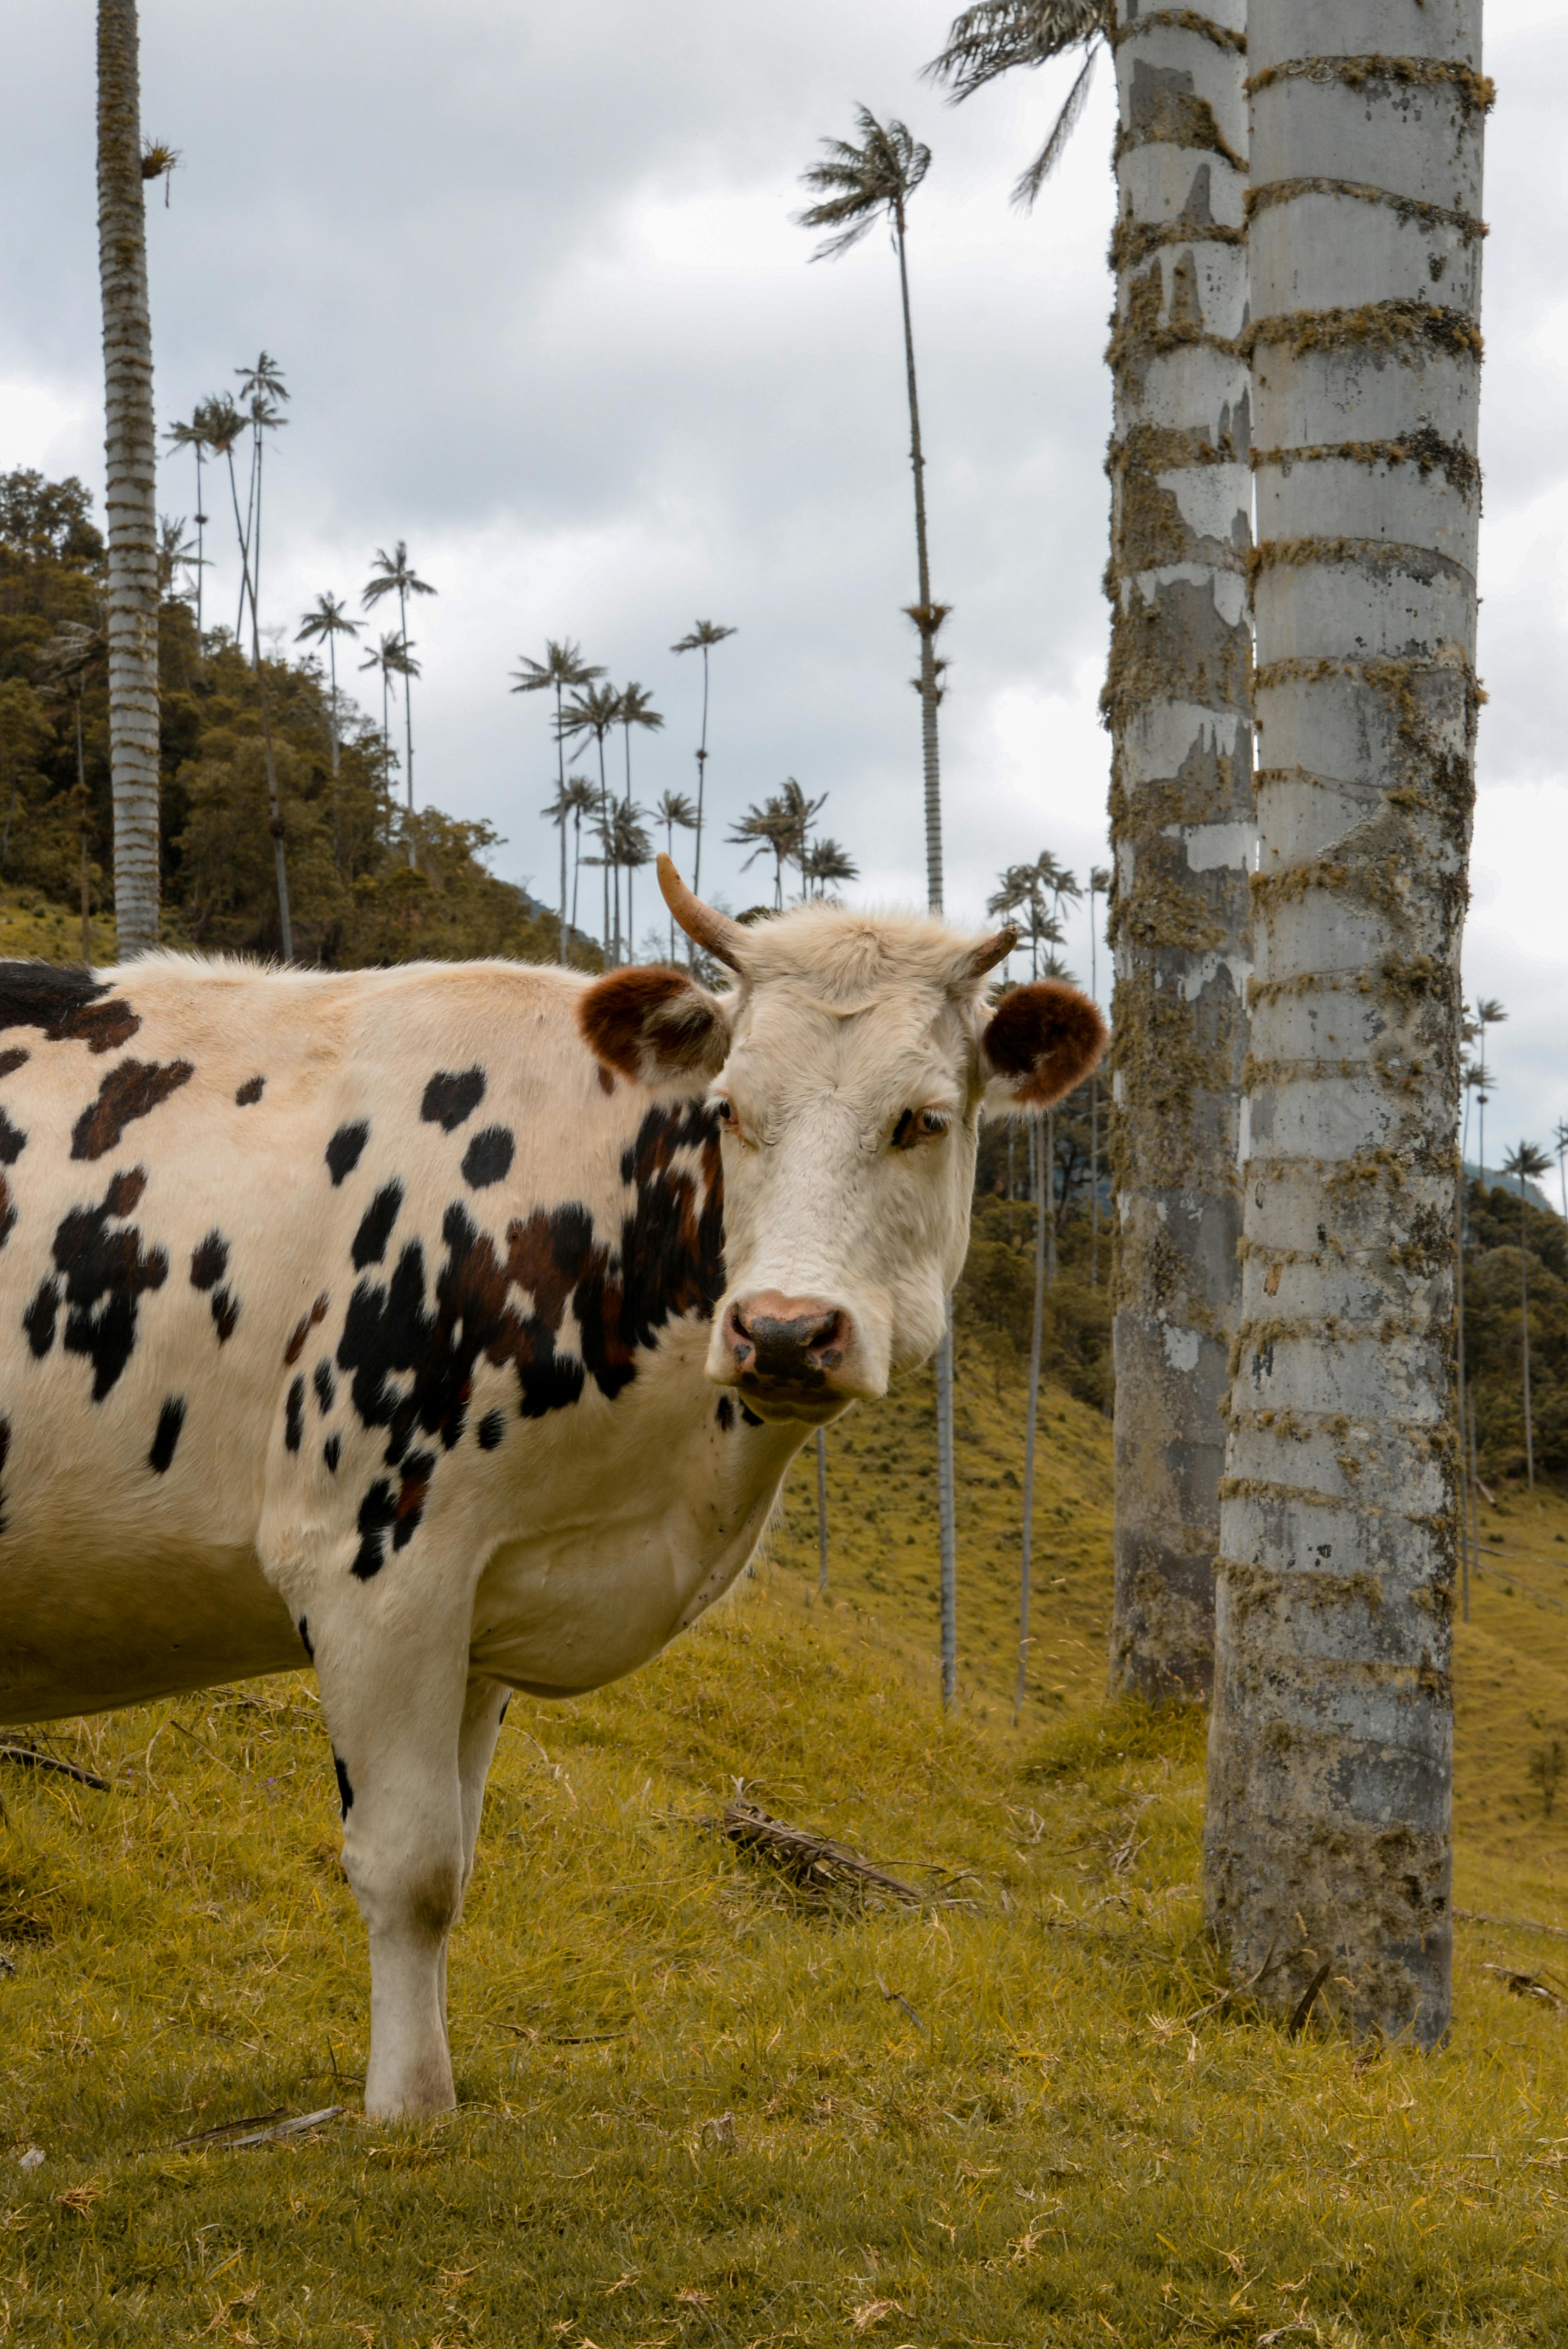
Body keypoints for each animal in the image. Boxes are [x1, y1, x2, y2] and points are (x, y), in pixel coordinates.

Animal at [3, 860, 1103, 2114]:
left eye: (922, 1118)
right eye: (732, 1111)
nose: (782, 1331)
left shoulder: (481, 1598)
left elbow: (459, 1861)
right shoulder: (373, 1558)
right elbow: (411, 1867)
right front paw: (408, 2110)